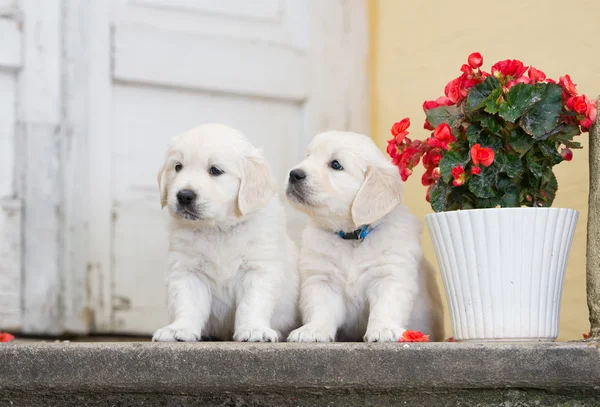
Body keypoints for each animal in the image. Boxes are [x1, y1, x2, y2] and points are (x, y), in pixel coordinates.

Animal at [284, 132, 442, 342]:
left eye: (335, 164)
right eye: (308, 156)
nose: (294, 174)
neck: (353, 238)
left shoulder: (390, 273)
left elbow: (385, 306)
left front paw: (384, 329)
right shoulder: (322, 278)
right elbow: (321, 307)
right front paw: (312, 330)